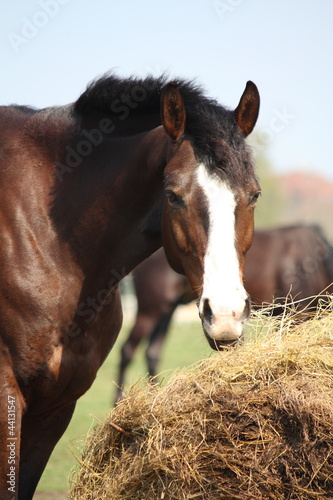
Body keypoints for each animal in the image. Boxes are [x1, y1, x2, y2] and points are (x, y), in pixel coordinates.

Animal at [115, 225, 332, 400]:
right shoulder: (295, 316)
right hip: (149, 310)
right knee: (127, 350)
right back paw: (118, 400)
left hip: (167, 310)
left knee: (152, 352)